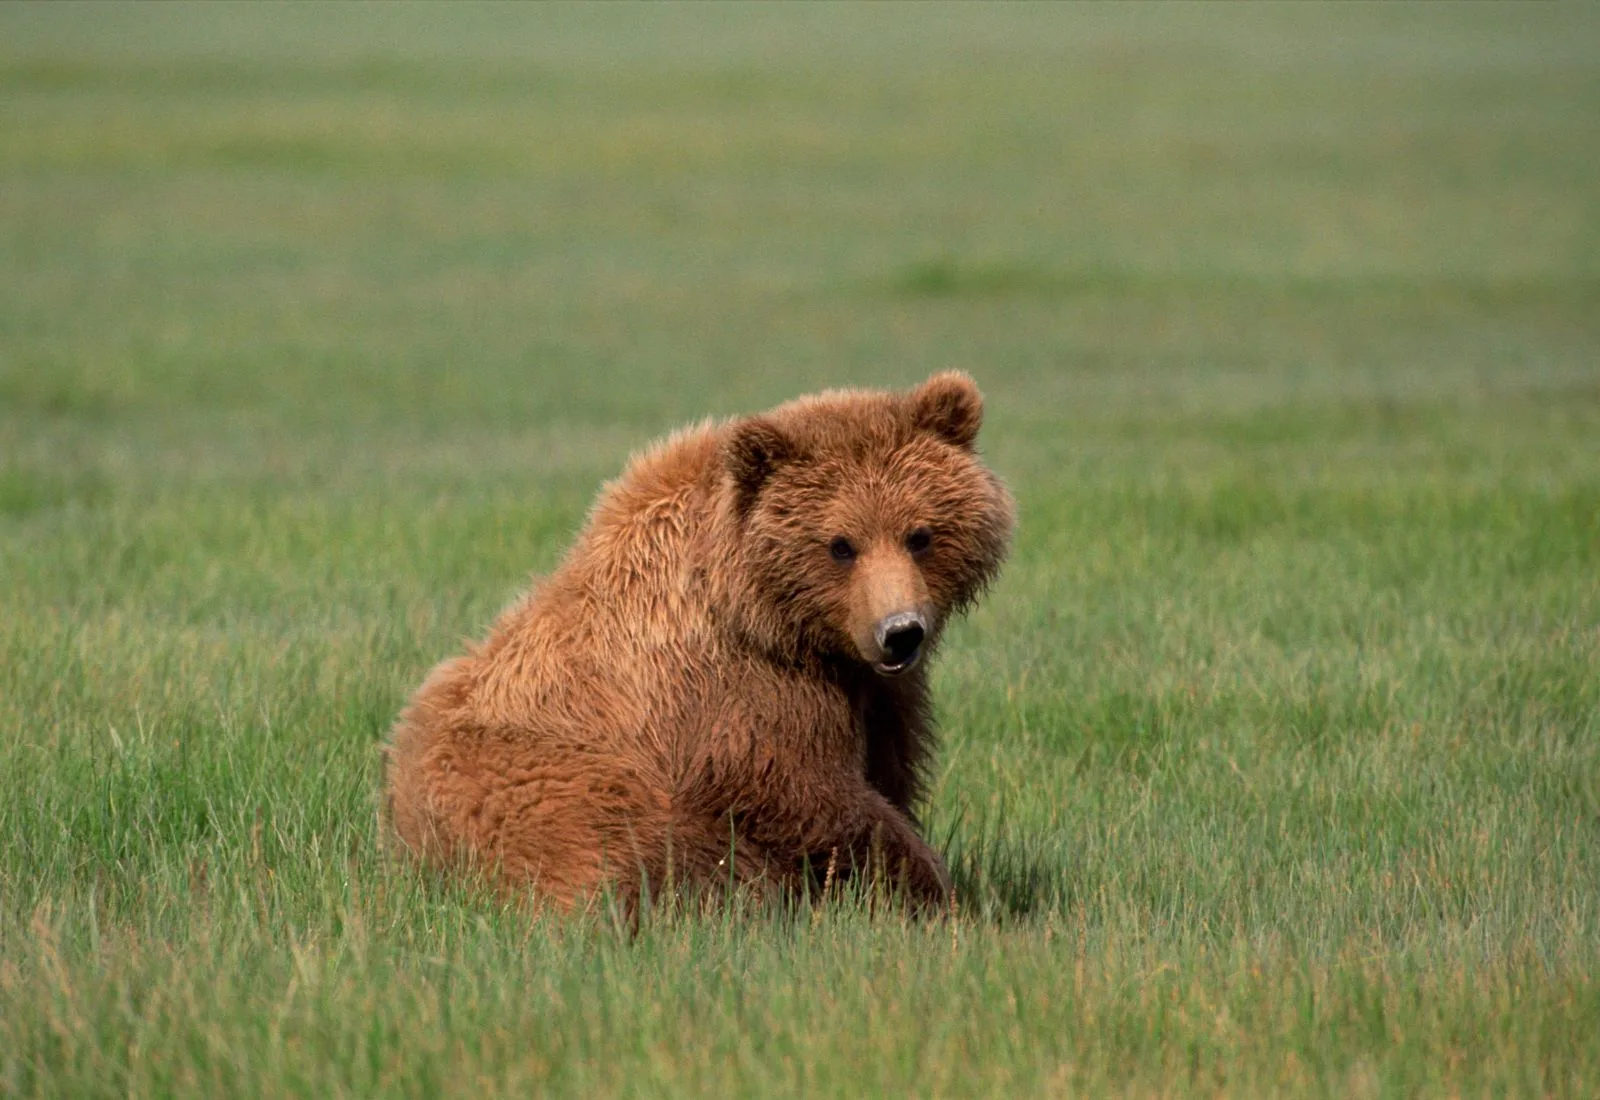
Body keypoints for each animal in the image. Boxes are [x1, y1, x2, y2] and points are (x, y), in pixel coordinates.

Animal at [381, 372, 1014, 913]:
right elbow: (808, 792)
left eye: (920, 535)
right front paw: (938, 890)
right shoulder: (739, 690)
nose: (900, 633)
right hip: (552, 788)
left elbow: (886, 768)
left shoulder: (871, 691)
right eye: (840, 545)